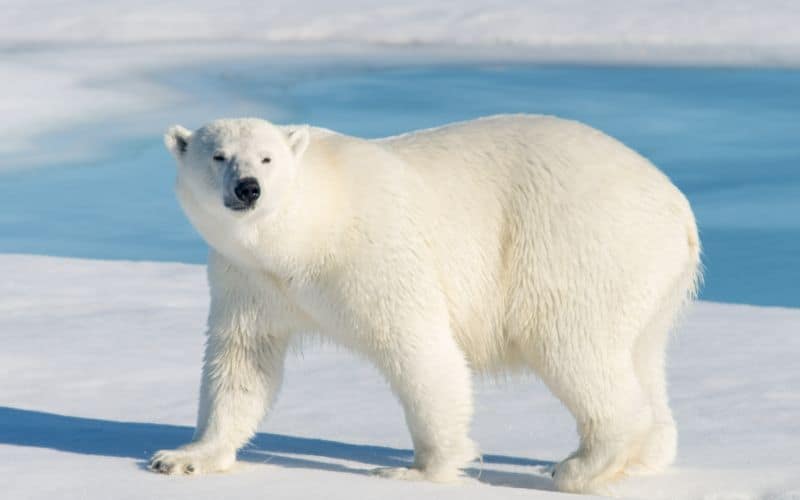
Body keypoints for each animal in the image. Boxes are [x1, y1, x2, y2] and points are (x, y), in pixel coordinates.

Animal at [150, 115, 700, 494]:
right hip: (649, 279)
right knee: (641, 354)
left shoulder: (374, 253)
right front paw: (183, 457)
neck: (307, 231)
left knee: (571, 345)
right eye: (218, 156)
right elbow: (242, 361)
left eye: (267, 158)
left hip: (577, 244)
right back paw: (645, 456)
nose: (249, 189)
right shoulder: (249, 278)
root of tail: (677, 205)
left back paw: (579, 466)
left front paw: (417, 470)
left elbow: (419, 349)